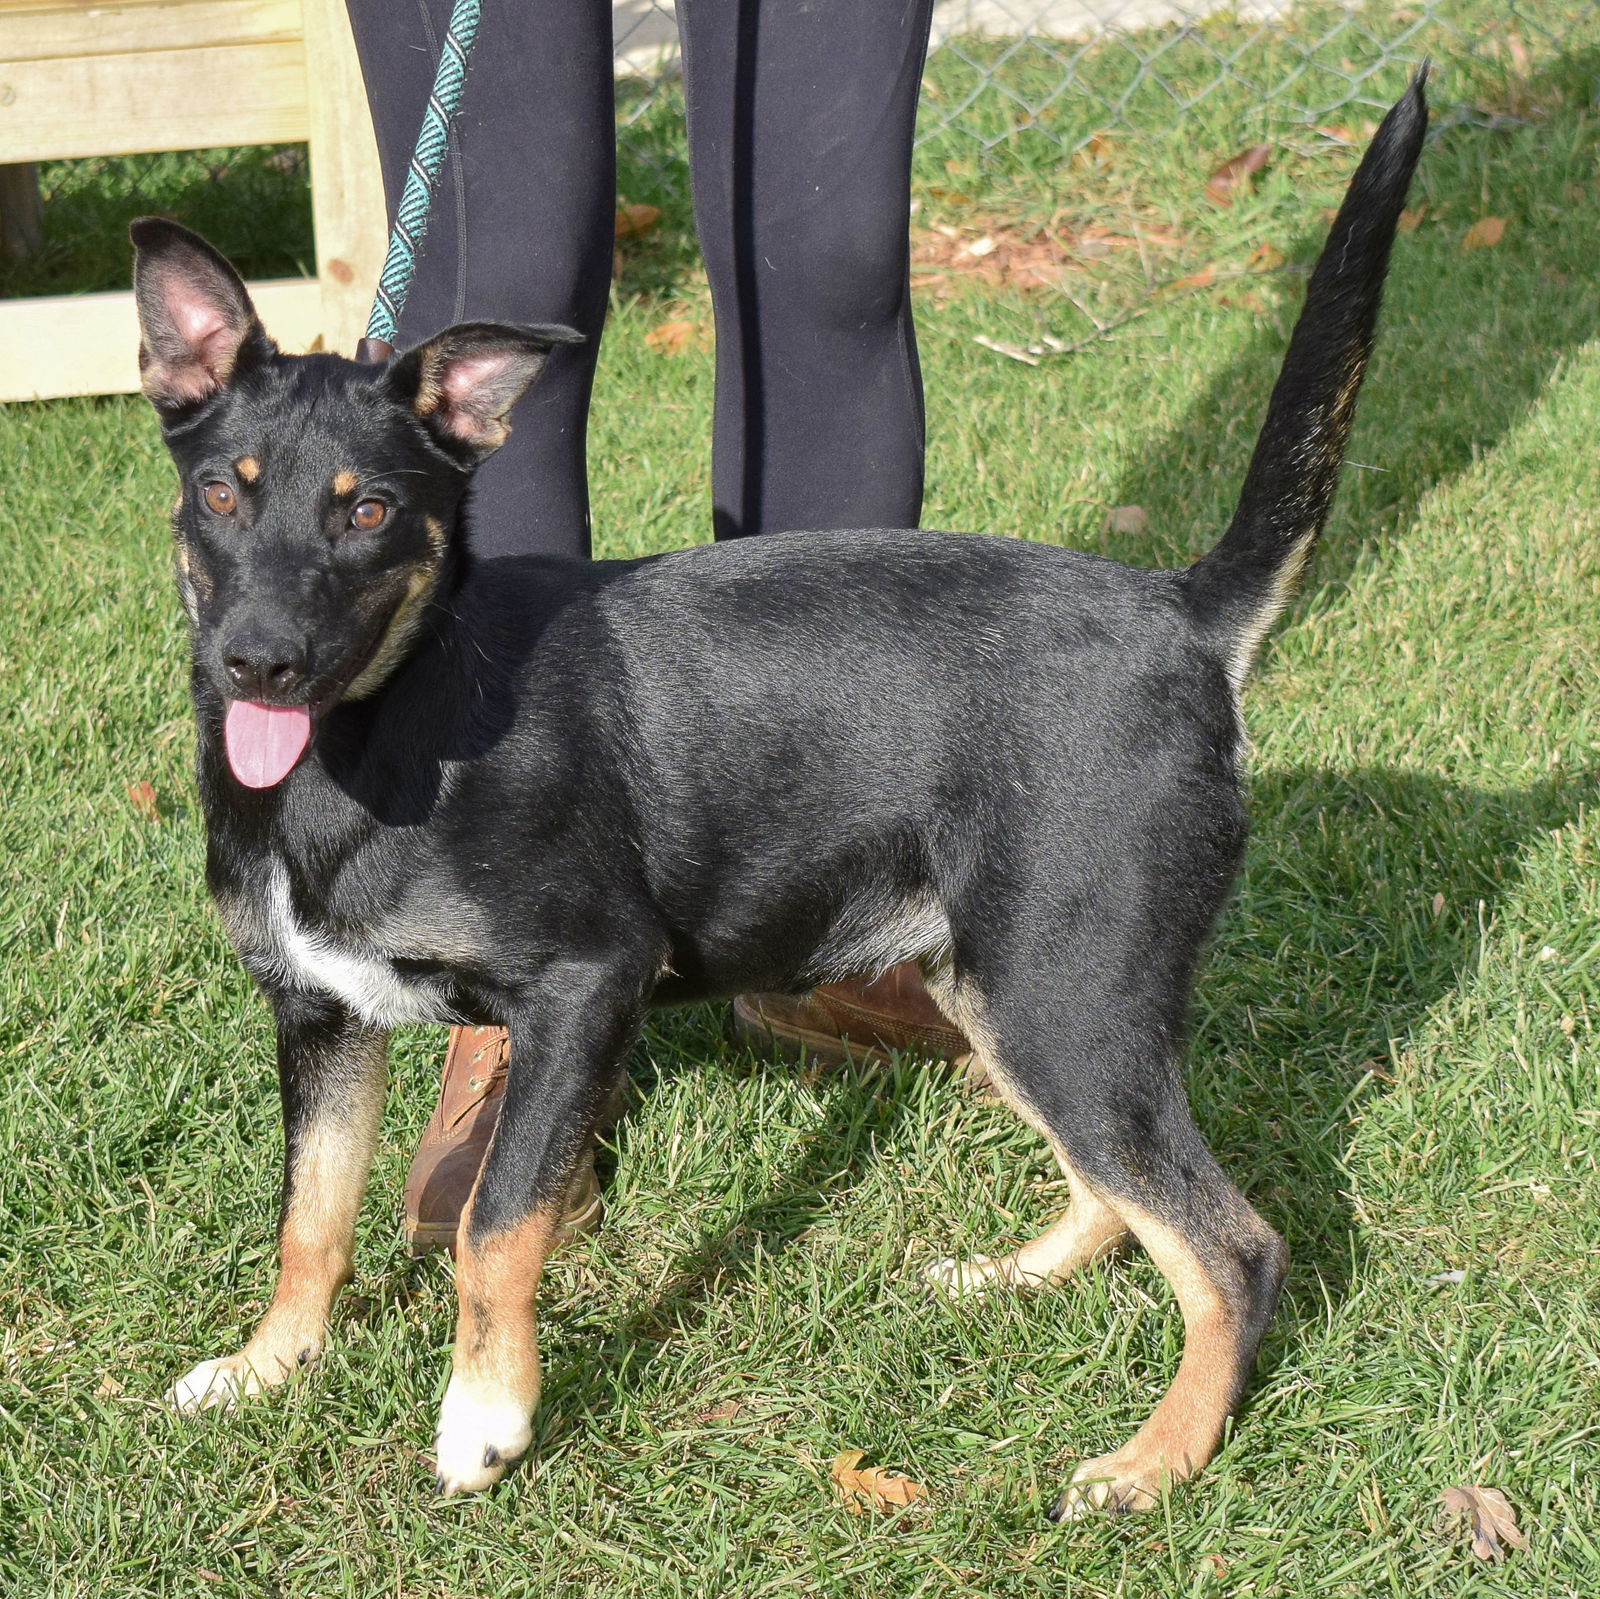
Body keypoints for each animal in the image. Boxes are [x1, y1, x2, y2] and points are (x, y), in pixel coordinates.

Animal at [134, 81, 1427, 1510]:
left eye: (366, 511)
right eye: (218, 492)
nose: (257, 662)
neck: (391, 723)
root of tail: (1183, 614)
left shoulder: (585, 982)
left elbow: (496, 1221)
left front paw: (487, 1415)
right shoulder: (318, 1015)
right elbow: (309, 1217)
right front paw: (269, 1367)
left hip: (1064, 991)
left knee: (1233, 1246)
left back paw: (1156, 1459)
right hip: (1010, 987)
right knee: (1120, 1194)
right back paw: (1012, 1279)